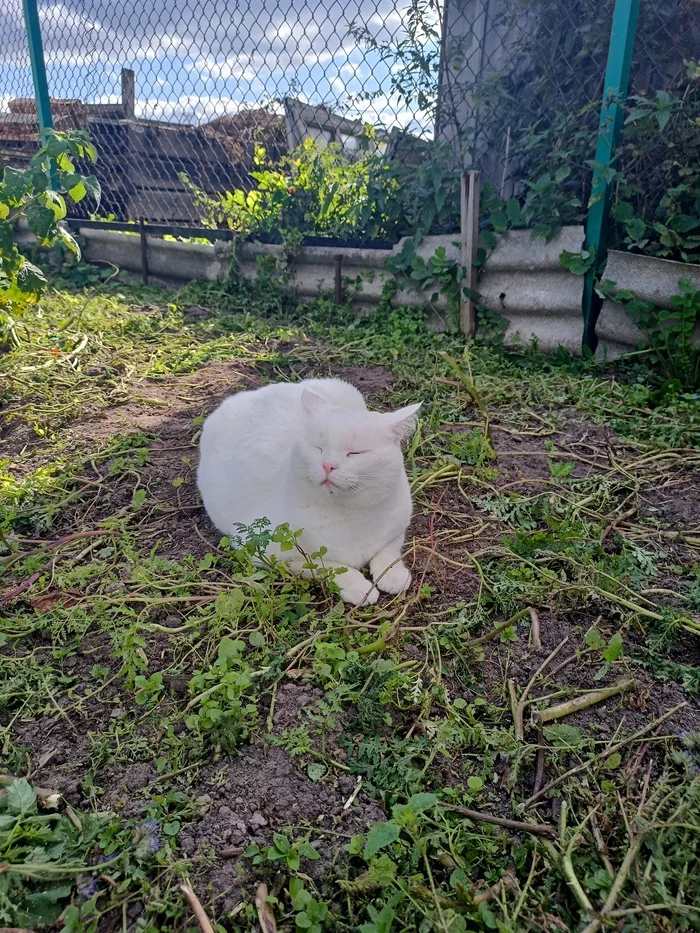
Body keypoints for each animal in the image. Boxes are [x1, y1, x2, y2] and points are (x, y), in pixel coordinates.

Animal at [196, 376, 422, 604]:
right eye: (318, 447)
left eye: (355, 453)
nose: (328, 465)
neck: (349, 514)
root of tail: (254, 393)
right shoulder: (264, 551)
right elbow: (328, 566)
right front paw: (360, 588)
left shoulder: (398, 527)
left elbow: (389, 550)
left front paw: (393, 574)